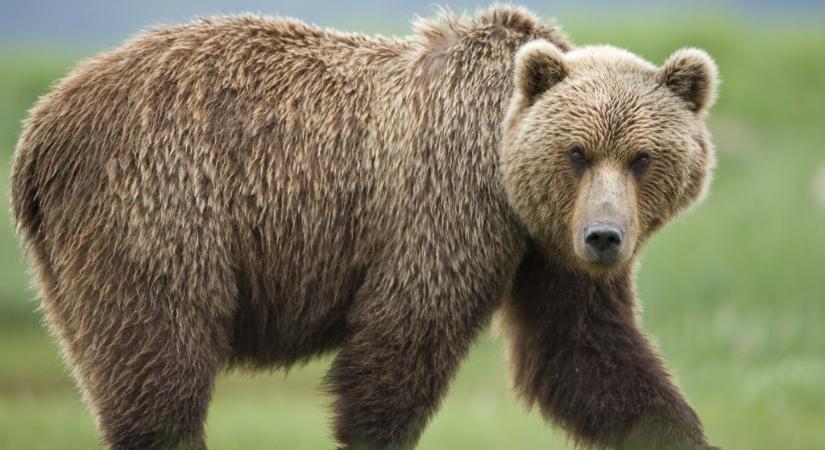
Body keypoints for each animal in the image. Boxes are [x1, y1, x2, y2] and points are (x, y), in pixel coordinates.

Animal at [9, 5, 719, 450]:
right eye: (577, 152)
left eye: (641, 157)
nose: (604, 238)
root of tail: (41, 126)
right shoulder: (444, 208)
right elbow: (399, 346)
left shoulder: (546, 251)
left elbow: (588, 356)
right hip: (160, 210)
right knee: (162, 366)